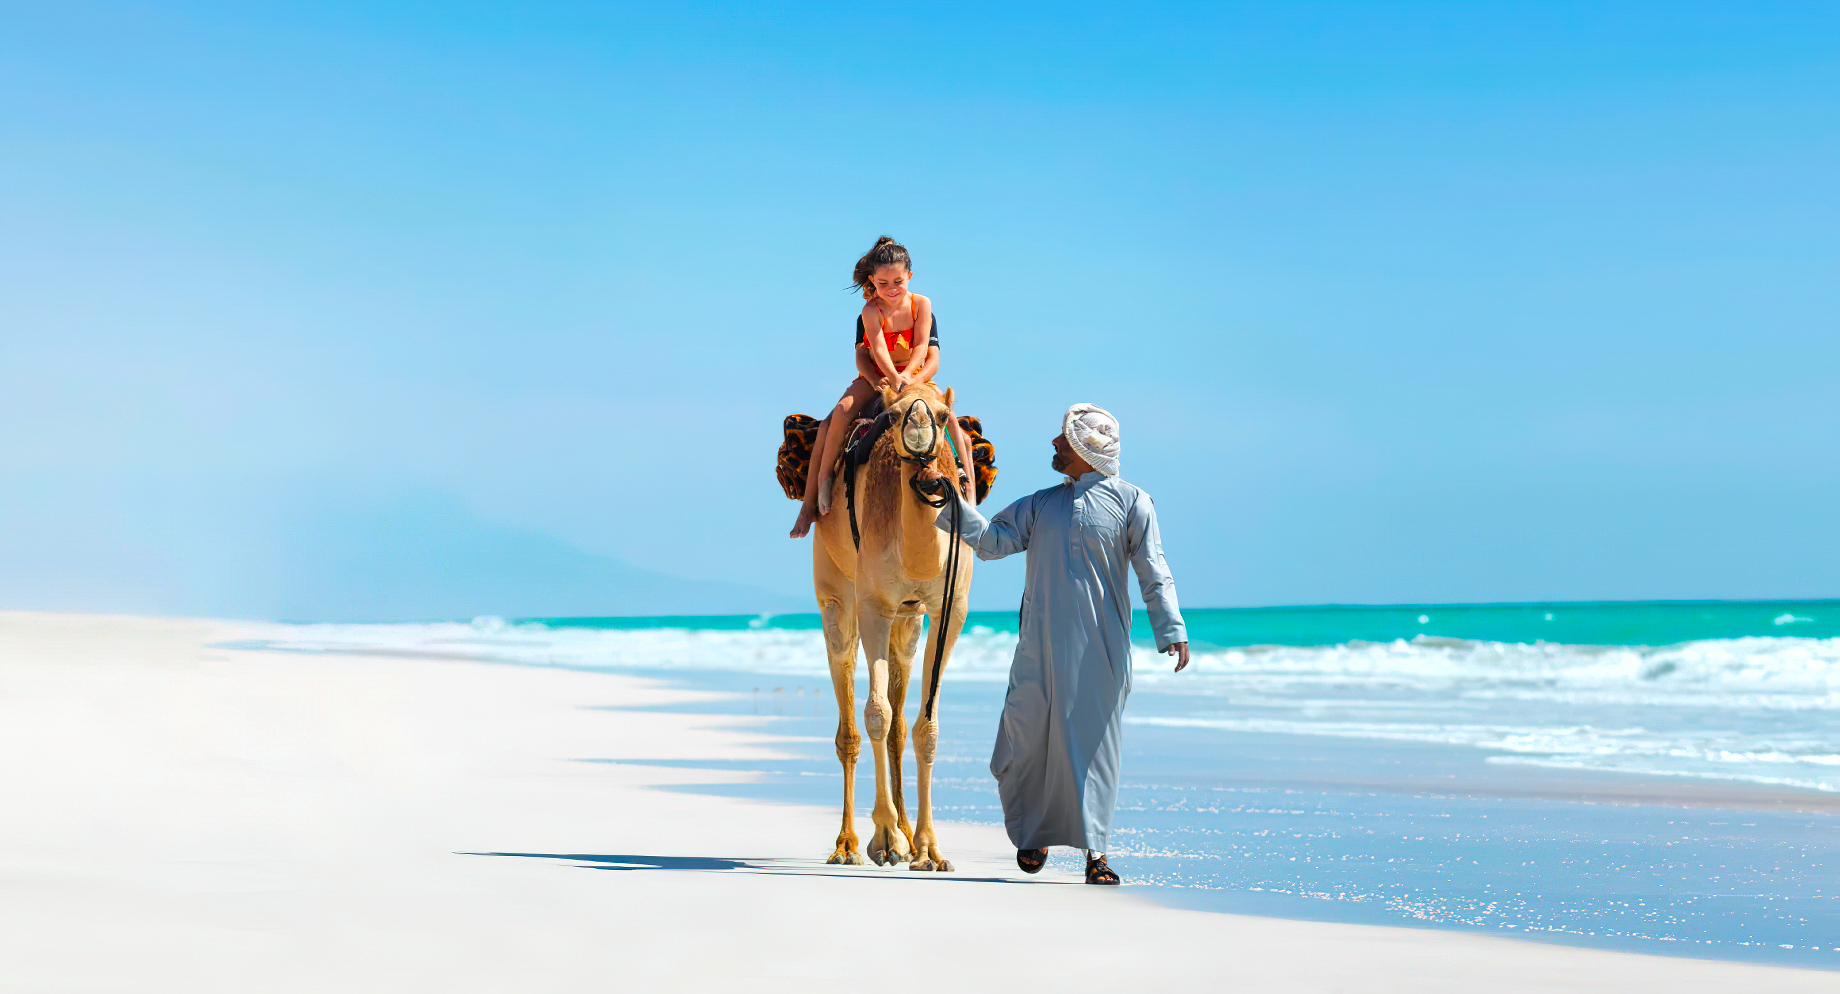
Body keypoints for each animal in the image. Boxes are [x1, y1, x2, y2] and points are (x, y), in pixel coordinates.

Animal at [811, 379, 973, 871]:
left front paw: (929, 849)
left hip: (909, 622)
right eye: (894, 413)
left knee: (902, 715)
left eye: (943, 415)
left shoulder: (951, 609)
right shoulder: (874, 605)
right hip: (837, 594)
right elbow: (876, 714)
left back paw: (905, 831)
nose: (918, 426)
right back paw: (848, 845)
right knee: (848, 708)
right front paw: (885, 839)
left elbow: (926, 727)